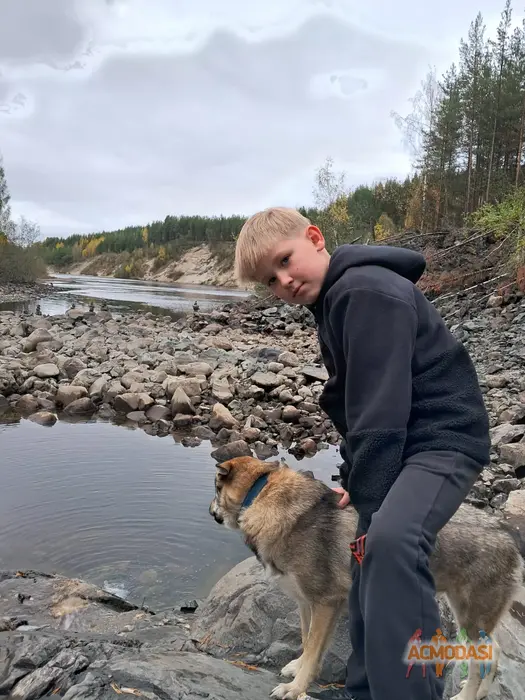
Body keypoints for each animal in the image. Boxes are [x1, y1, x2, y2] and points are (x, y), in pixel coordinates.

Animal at [209, 456, 524, 700]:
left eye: (216, 488)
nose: (210, 511)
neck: (261, 497)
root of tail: (507, 532)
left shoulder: (326, 604)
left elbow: (313, 651)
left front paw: (295, 688)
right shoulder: (306, 604)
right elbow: (307, 642)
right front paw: (297, 668)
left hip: (470, 619)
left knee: (479, 661)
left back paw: (467, 695)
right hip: (469, 617)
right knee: (494, 652)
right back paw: (481, 692)